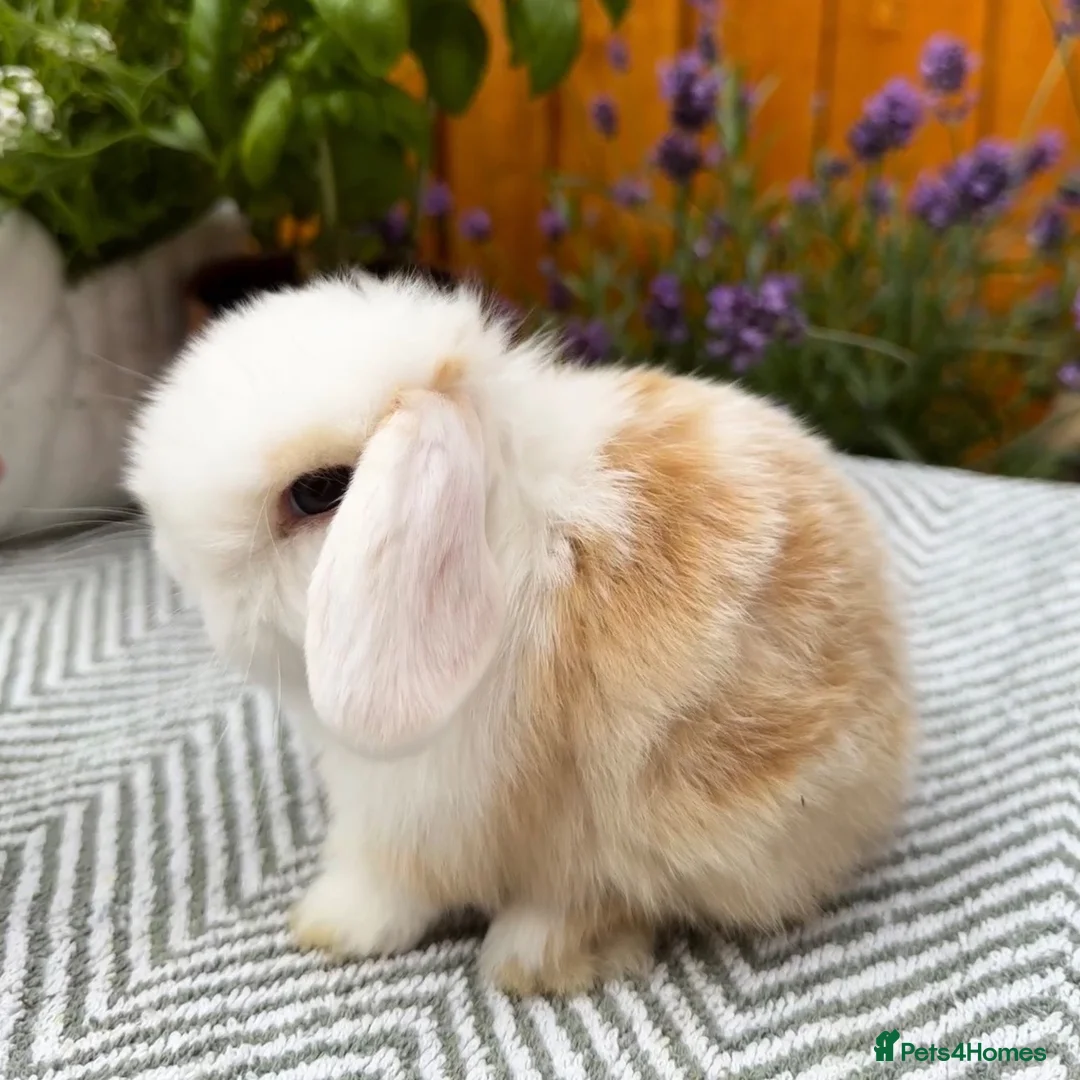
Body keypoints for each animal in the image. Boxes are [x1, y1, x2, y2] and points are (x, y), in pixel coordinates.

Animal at [125, 272, 915, 996]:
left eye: (318, 491)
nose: (173, 561)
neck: (501, 524)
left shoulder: (420, 811)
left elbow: (390, 884)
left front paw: (330, 924)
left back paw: (527, 959)